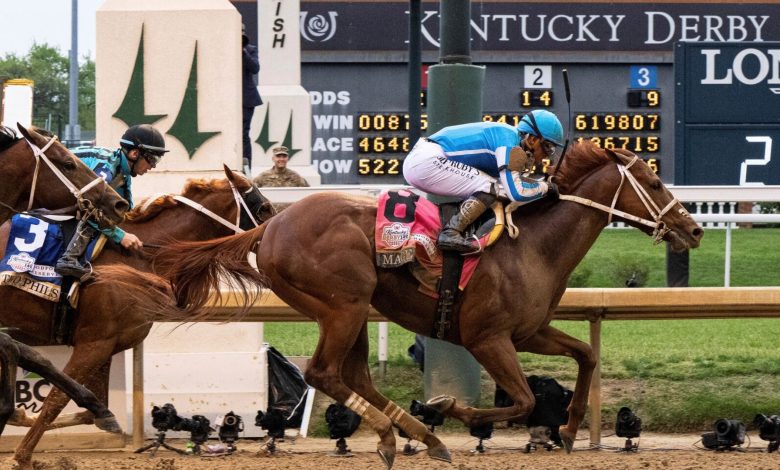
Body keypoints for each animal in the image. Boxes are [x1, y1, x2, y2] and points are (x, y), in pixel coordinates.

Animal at [0, 166, 274, 470]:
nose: (281, 232)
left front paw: (22, 418)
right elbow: (56, 398)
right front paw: (21, 456)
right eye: (263, 208)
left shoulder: (107, 345)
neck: (140, 257)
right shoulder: (94, 343)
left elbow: (90, 409)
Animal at [154, 141, 708, 468]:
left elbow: (587, 355)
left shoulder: (528, 331)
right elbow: (524, 400)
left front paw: (570, 428)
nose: (694, 228)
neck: (532, 246)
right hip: (343, 305)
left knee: (354, 377)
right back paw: (402, 431)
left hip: (353, 310)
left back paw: (417, 435)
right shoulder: (488, 339)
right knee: (322, 372)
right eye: (653, 183)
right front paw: (450, 407)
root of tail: (269, 226)